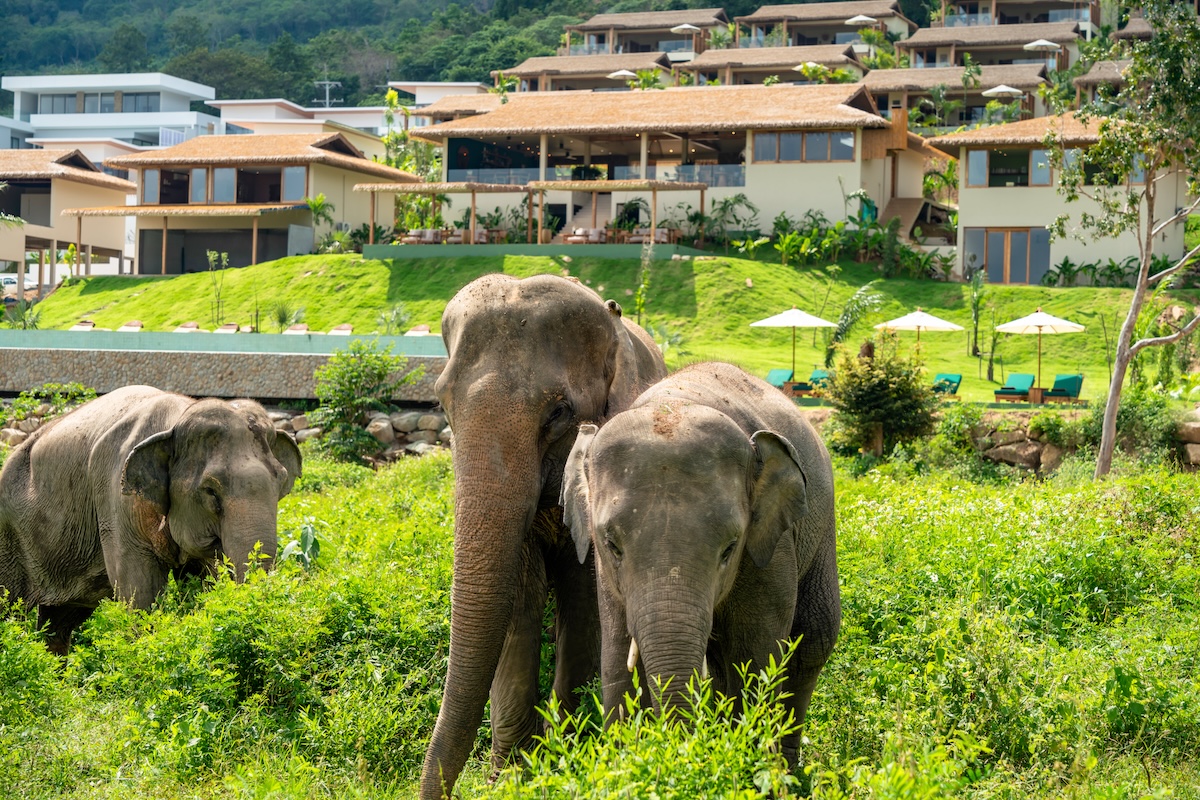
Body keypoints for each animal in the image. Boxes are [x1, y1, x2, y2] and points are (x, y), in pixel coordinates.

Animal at [0, 385, 302, 654]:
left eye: (282, 480)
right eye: (210, 491)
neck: (178, 416)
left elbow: (203, 578)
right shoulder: (114, 494)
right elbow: (140, 591)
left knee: (60, 622)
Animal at [420, 273, 667, 799]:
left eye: (558, 413)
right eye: (443, 405)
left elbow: (583, 592)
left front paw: (563, 755)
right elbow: (519, 592)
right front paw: (511, 776)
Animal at [561, 362, 839, 766]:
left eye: (730, 548)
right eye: (612, 545)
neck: (674, 403)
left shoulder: (770, 549)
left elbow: (756, 658)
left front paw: (750, 766)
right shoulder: (604, 572)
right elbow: (616, 658)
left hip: (820, 522)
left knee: (814, 638)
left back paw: (789, 769)